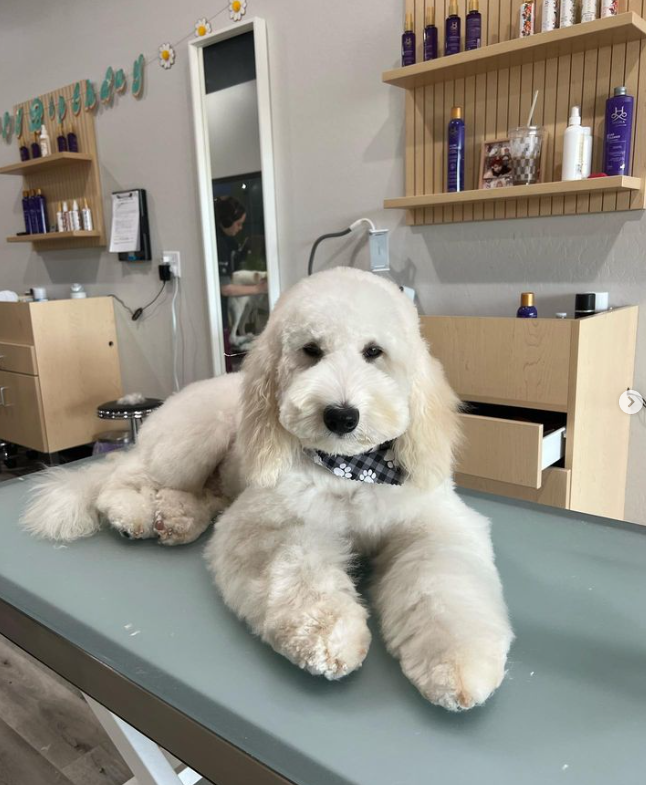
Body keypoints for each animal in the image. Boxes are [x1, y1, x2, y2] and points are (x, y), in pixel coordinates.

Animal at [22, 268, 512, 712]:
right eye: (311, 351)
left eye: (374, 352)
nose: (341, 415)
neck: (351, 469)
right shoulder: (271, 521)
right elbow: (298, 572)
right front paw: (330, 638)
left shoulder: (435, 525)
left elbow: (442, 586)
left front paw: (458, 665)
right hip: (192, 439)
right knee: (127, 475)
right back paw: (133, 512)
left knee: (197, 494)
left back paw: (177, 518)